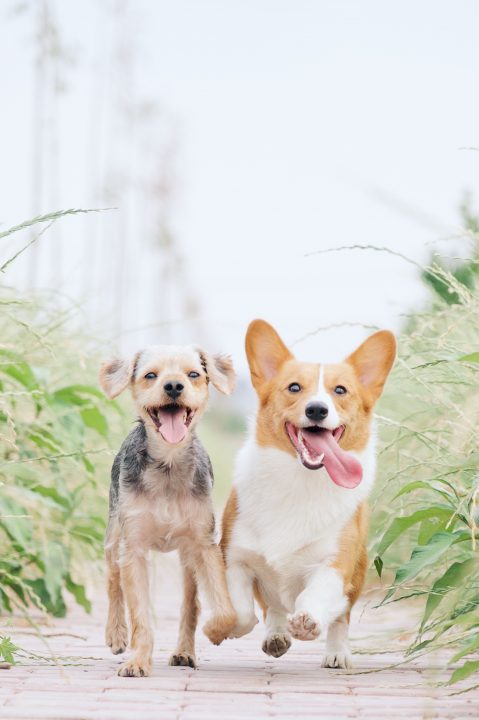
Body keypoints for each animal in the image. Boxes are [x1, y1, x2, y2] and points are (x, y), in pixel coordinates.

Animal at [100, 346, 238, 676]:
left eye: (194, 374)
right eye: (150, 375)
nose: (174, 386)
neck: (168, 464)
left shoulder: (204, 544)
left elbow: (224, 608)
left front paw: (216, 630)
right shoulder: (133, 548)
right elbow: (139, 614)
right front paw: (137, 660)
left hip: (187, 559)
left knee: (191, 603)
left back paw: (185, 652)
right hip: (114, 536)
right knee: (113, 581)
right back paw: (116, 634)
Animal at [219, 320, 396, 668]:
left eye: (340, 390)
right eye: (294, 388)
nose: (317, 409)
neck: (299, 480)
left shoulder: (334, 565)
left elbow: (315, 596)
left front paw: (308, 622)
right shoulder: (235, 557)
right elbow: (243, 610)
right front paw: (234, 627)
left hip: (357, 575)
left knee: (340, 617)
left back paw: (337, 653)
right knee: (273, 607)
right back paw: (276, 635)